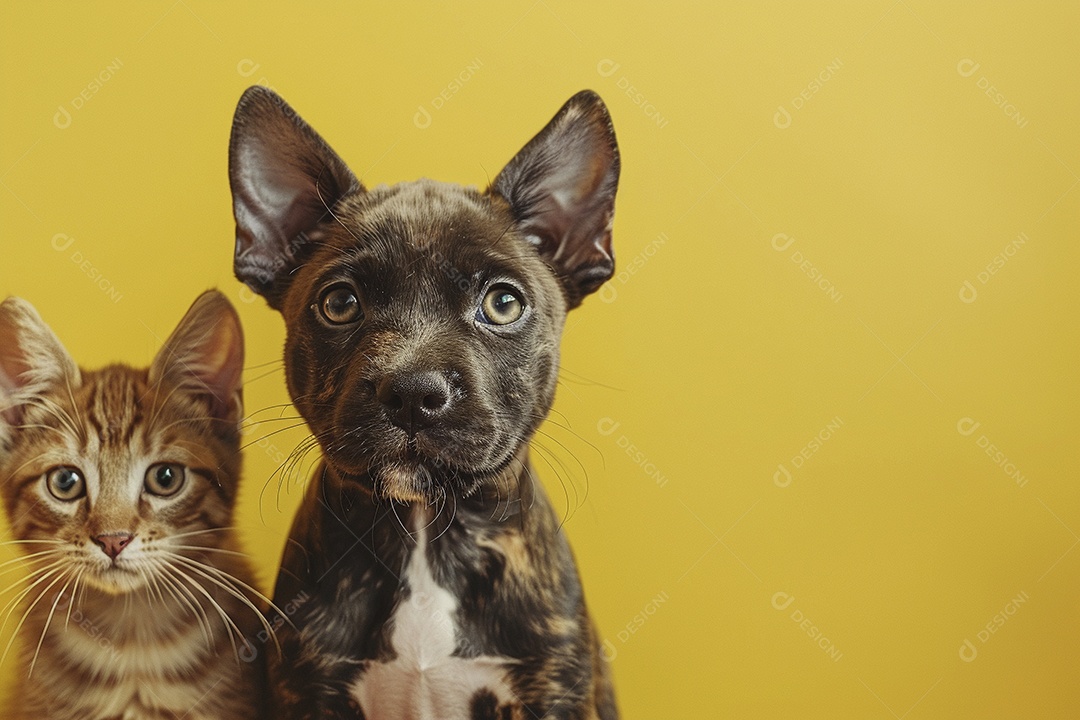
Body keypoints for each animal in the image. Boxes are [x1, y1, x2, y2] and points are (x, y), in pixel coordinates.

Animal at [230, 85, 626, 720]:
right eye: (339, 303)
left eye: (503, 304)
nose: (413, 392)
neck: (424, 527)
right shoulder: (309, 691)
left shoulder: (551, 692)